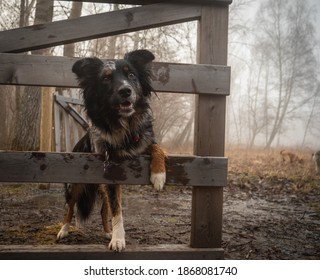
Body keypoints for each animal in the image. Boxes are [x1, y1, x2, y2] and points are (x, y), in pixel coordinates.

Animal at [56, 49, 166, 252]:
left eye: (131, 75)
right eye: (106, 79)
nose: (125, 91)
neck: (124, 127)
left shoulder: (143, 140)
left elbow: (157, 146)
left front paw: (158, 174)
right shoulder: (112, 172)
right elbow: (117, 211)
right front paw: (118, 239)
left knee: (103, 209)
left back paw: (107, 231)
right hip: (75, 184)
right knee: (70, 206)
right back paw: (64, 230)